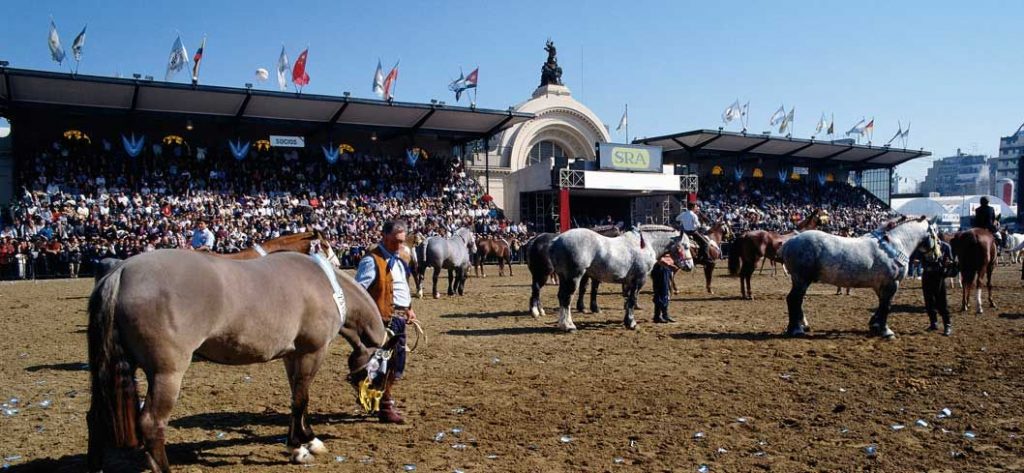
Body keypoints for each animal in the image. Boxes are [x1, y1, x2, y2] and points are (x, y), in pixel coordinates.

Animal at [87, 249, 395, 470]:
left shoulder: (292, 355)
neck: (327, 286)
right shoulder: (312, 352)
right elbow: (302, 399)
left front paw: (299, 445)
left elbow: (296, 397)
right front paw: (306, 442)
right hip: (167, 374)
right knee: (151, 424)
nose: (374, 406)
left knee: (96, 417)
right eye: (383, 371)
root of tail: (121, 272)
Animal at [548, 225, 692, 331]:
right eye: (685, 246)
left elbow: (628, 301)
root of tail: (556, 241)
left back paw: (563, 324)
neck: (645, 244)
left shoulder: (629, 282)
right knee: (567, 298)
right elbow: (632, 300)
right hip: (573, 277)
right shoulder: (639, 279)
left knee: (561, 297)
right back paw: (569, 326)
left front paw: (627, 321)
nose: (690, 266)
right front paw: (632, 323)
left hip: (564, 278)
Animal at [778, 216, 937, 337]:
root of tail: (789, 242)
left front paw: (874, 324)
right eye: (935, 233)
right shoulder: (891, 283)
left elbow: (881, 305)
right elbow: (887, 306)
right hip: (801, 280)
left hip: (799, 281)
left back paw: (798, 327)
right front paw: (885, 331)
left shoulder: (880, 286)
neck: (893, 245)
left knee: (796, 301)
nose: (936, 256)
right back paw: (796, 329)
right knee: (793, 300)